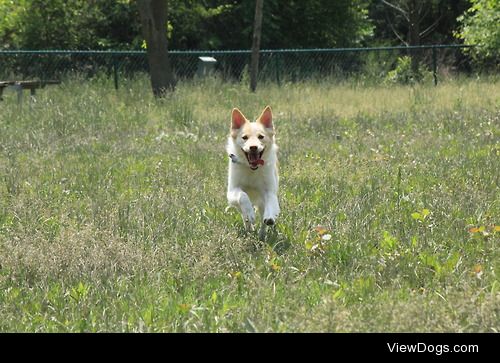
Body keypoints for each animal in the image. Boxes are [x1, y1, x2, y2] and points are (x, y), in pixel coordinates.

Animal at [228, 106, 280, 240]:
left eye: (261, 137)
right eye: (244, 137)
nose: (253, 147)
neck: (251, 169)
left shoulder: (269, 191)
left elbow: (270, 203)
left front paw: (269, 217)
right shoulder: (232, 191)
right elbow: (243, 196)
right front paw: (250, 213)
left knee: (262, 219)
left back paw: (262, 235)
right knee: (244, 215)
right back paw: (249, 228)